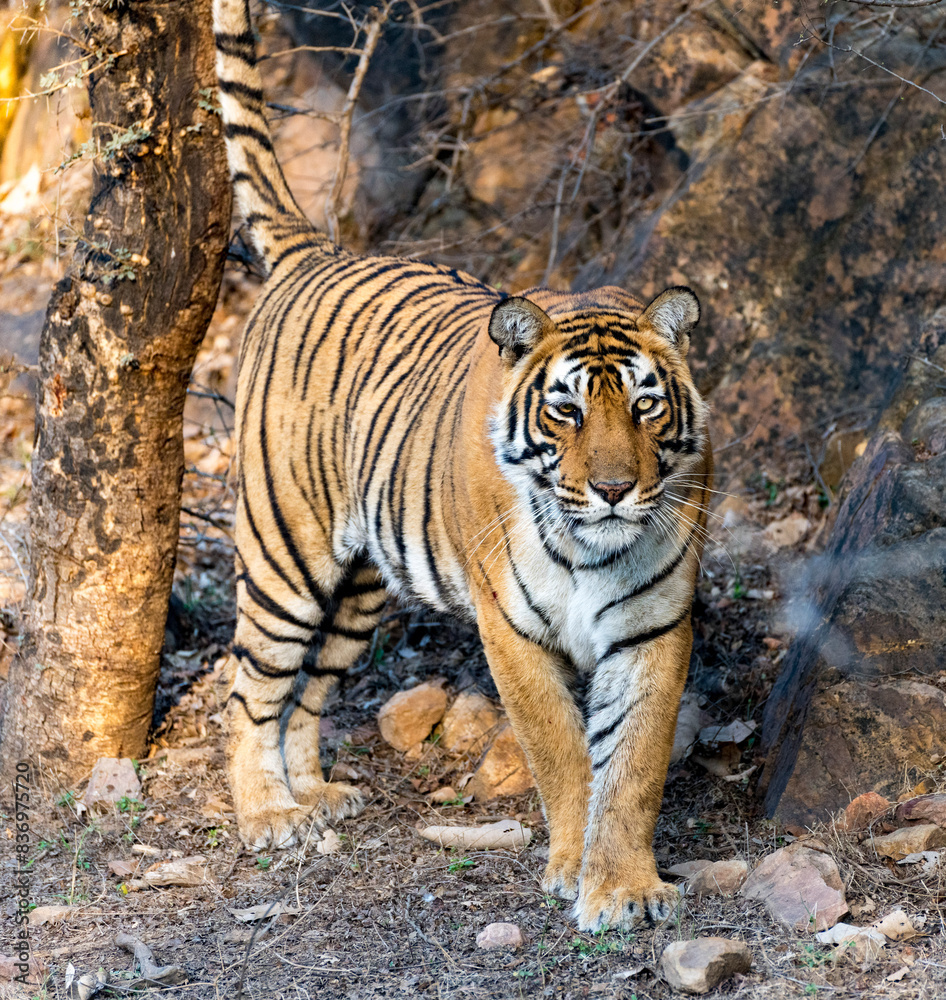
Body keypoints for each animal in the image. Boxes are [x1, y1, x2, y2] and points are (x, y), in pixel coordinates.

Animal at [213, 0, 712, 931]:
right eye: (566, 411)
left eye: (646, 405)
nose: (616, 490)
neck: (593, 546)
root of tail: (321, 252)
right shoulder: (512, 630)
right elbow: (562, 753)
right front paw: (572, 866)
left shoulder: (653, 627)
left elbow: (632, 764)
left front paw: (624, 885)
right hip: (284, 551)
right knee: (252, 684)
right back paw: (267, 814)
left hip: (361, 585)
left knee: (309, 687)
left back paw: (315, 794)